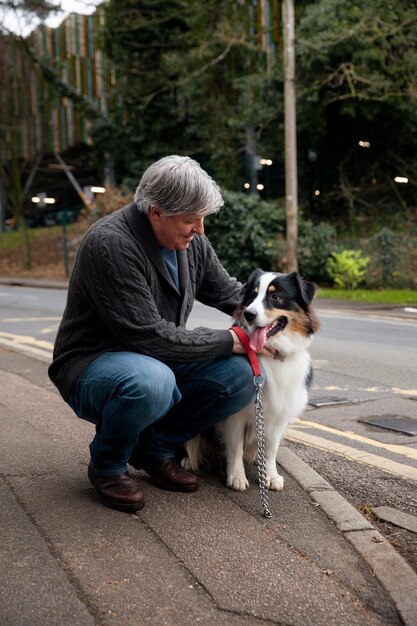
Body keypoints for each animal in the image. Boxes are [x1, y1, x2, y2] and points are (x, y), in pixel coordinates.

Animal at [182, 270, 318, 490]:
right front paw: (236, 476)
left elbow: (272, 448)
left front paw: (271, 475)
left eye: (275, 296)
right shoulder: (236, 415)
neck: (273, 355)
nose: (249, 314)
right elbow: (235, 446)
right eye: (252, 295)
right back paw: (188, 460)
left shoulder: (279, 415)